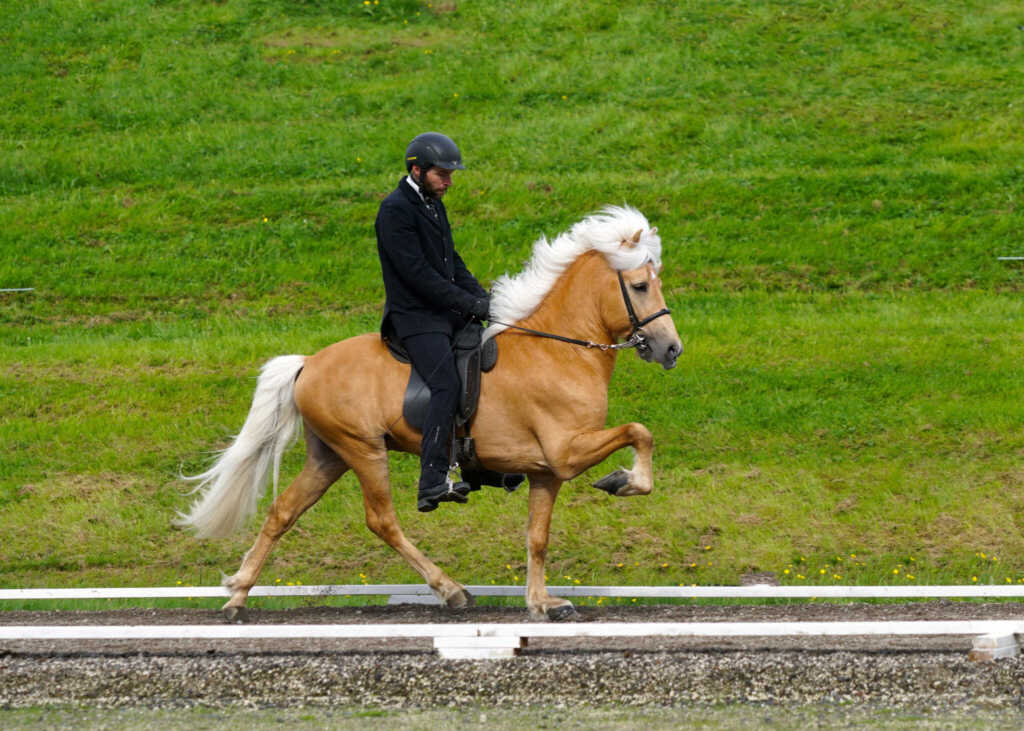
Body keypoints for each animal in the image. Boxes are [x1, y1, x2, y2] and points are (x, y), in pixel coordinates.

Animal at [178, 204, 679, 622]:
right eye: (640, 286)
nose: (671, 349)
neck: (561, 350)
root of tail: (309, 362)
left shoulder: (546, 471)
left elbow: (537, 538)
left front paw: (541, 603)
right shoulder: (567, 451)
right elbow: (641, 431)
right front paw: (624, 481)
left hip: (330, 455)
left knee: (284, 511)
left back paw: (238, 594)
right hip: (363, 450)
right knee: (382, 520)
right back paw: (450, 589)